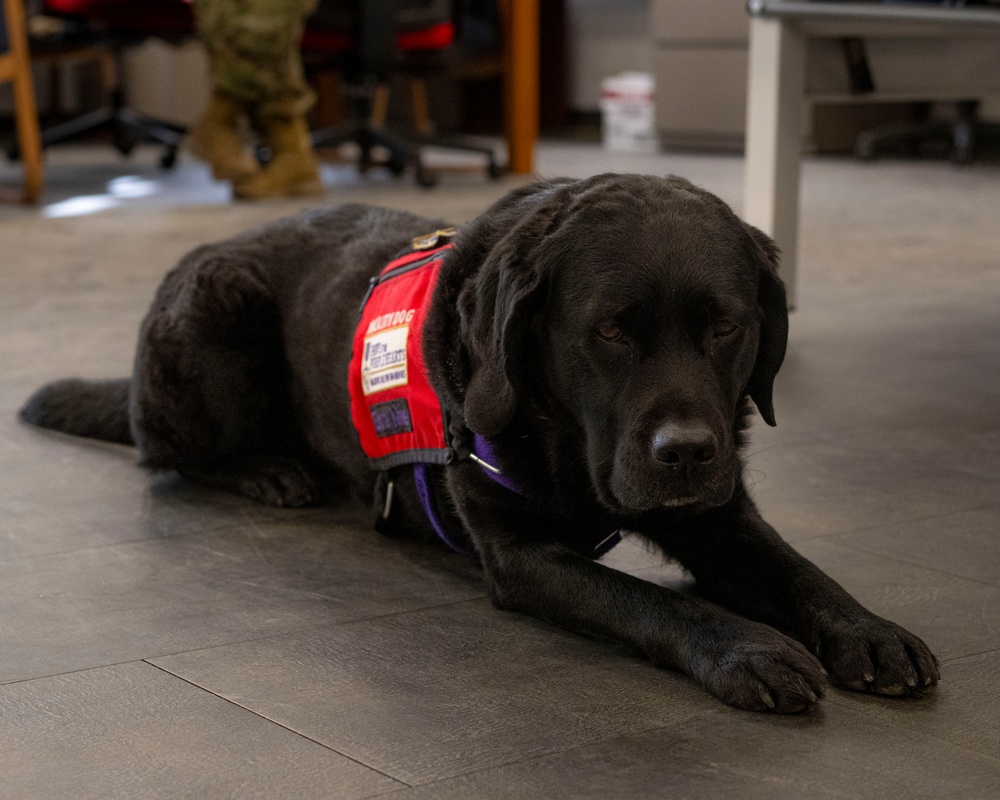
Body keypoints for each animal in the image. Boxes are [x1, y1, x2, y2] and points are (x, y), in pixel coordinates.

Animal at [19, 175, 936, 712]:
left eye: (725, 327)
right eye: (610, 330)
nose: (684, 451)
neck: (562, 440)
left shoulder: (718, 515)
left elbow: (799, 569)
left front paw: (869, 630)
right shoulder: (521, 555)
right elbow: (648, 601)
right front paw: (746, 648)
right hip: (218, 313)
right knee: (165, 450)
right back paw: (274, 470)